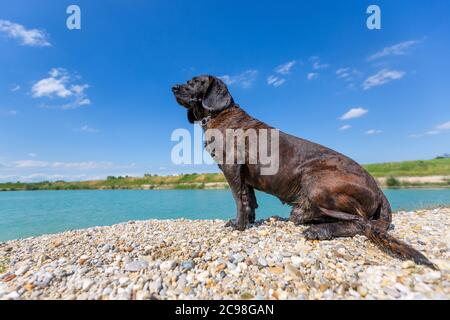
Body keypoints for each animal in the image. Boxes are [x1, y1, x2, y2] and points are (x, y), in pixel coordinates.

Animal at [171, 74, 436, 268]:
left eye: (195, 81)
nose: (173, 87)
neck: (219, 113)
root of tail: (380, 190)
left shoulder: (231, 166)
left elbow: (239, 199)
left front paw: (239, 225)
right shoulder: (244, 174)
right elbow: (249, 199)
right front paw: (250, 220)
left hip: (316, 182)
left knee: (361, 223)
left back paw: (321, 230)